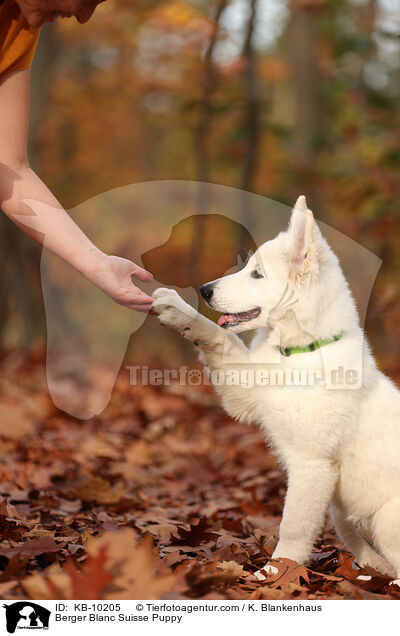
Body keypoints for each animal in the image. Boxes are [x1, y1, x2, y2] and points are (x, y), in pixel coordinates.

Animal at [152, 198, 400, 580]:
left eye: (257, 274)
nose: (206, 290)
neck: (300, 351)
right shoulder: (249, 389)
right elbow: (220, 336)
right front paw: (179, 311)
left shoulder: (312, 464)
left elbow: (293, 527)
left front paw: (272, 575)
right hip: (342, 513)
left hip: (387, 519)